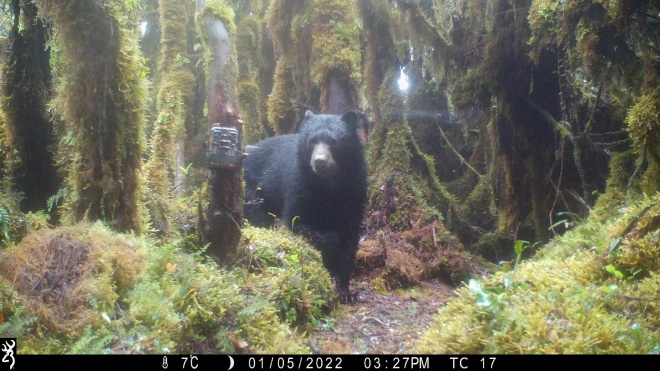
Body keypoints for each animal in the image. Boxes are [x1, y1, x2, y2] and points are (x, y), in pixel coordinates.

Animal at [244, 109, 366, 302]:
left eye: (334, 142)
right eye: (312, 141)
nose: (320, 161)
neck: (329, 185)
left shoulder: (356, 189)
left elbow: (350, 239)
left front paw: (347, 293)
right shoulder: (299, 183)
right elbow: (297, 219)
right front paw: (329, 241)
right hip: (252, 189)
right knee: (256, 215)